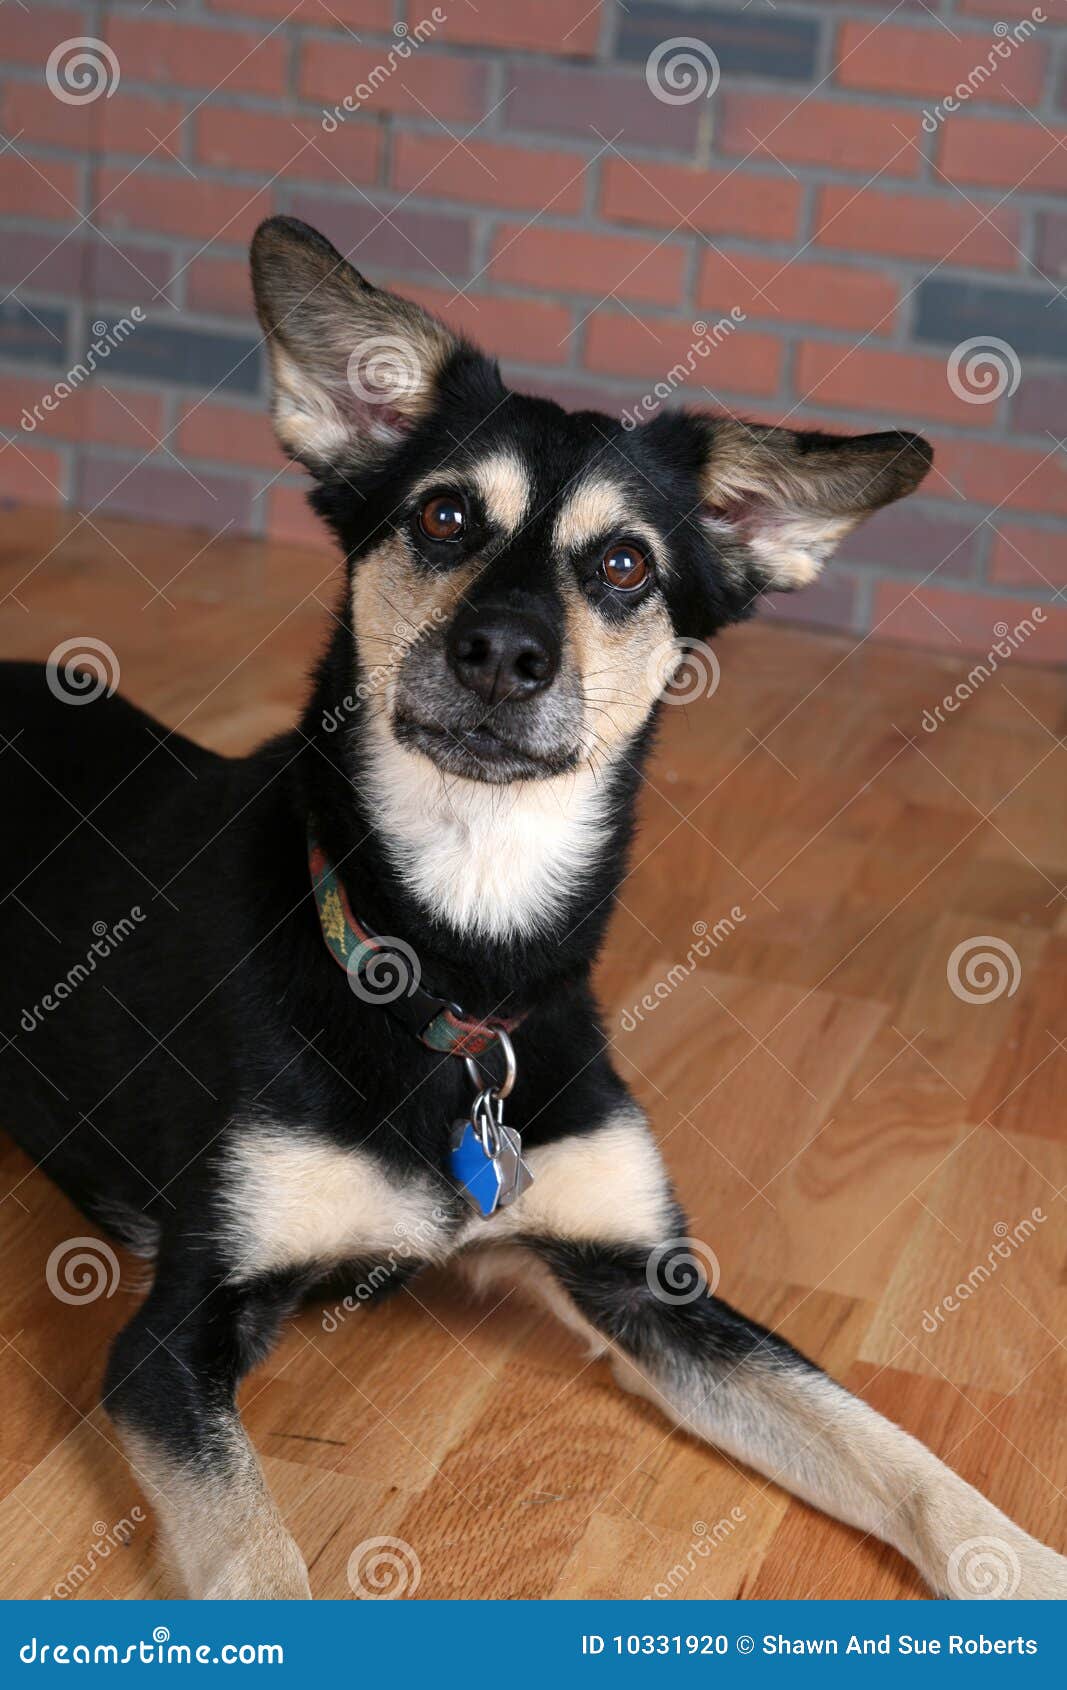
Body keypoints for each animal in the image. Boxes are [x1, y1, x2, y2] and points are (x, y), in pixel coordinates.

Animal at [2, 218, 1067, 1602]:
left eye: (622, 564)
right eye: (444, 515)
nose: (504, 655)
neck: (453, 957)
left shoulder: (651, 1281)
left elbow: (896, 1452)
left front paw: (1023, 1562)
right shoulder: (172, 1337)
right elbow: (260, 1562)